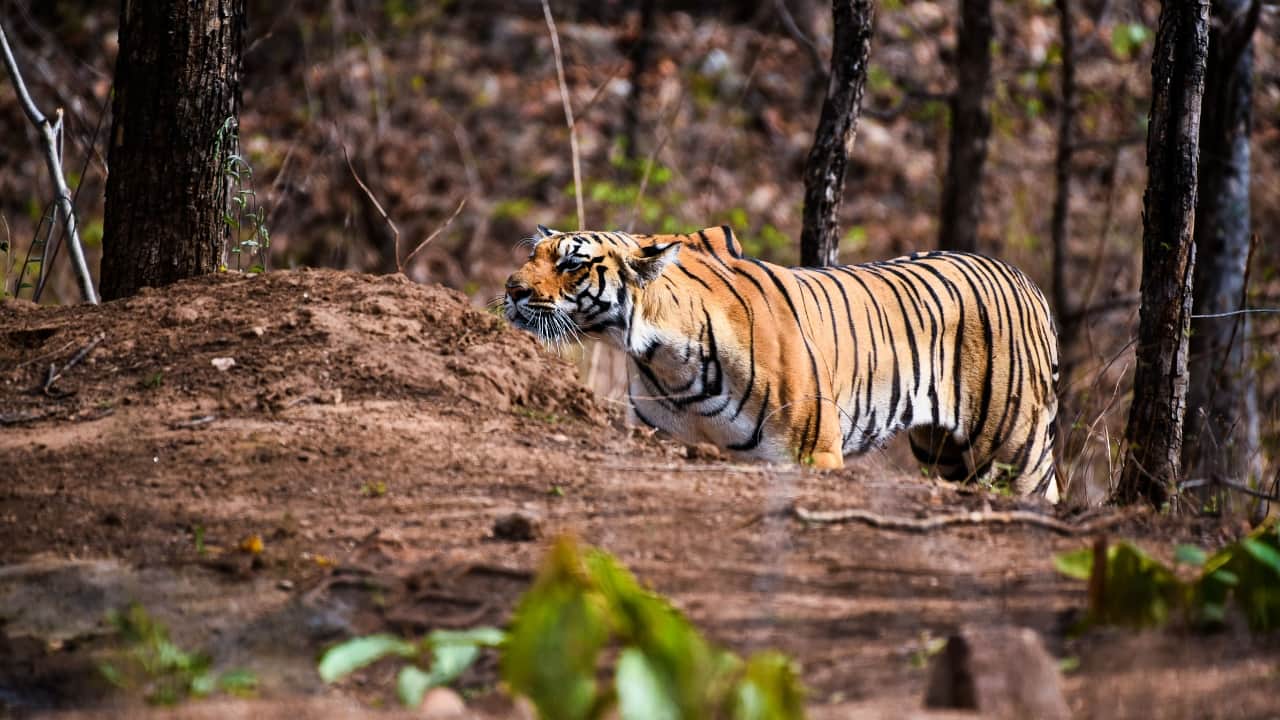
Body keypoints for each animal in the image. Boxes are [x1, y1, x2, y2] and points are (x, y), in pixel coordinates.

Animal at [504, 224, 1060, 501]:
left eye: (572, 262)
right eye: (533, 254)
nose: (512, 289)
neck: (665, 360)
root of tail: (1027, 280)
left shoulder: (815, 454)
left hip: (1016, 451)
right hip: (943, 453)